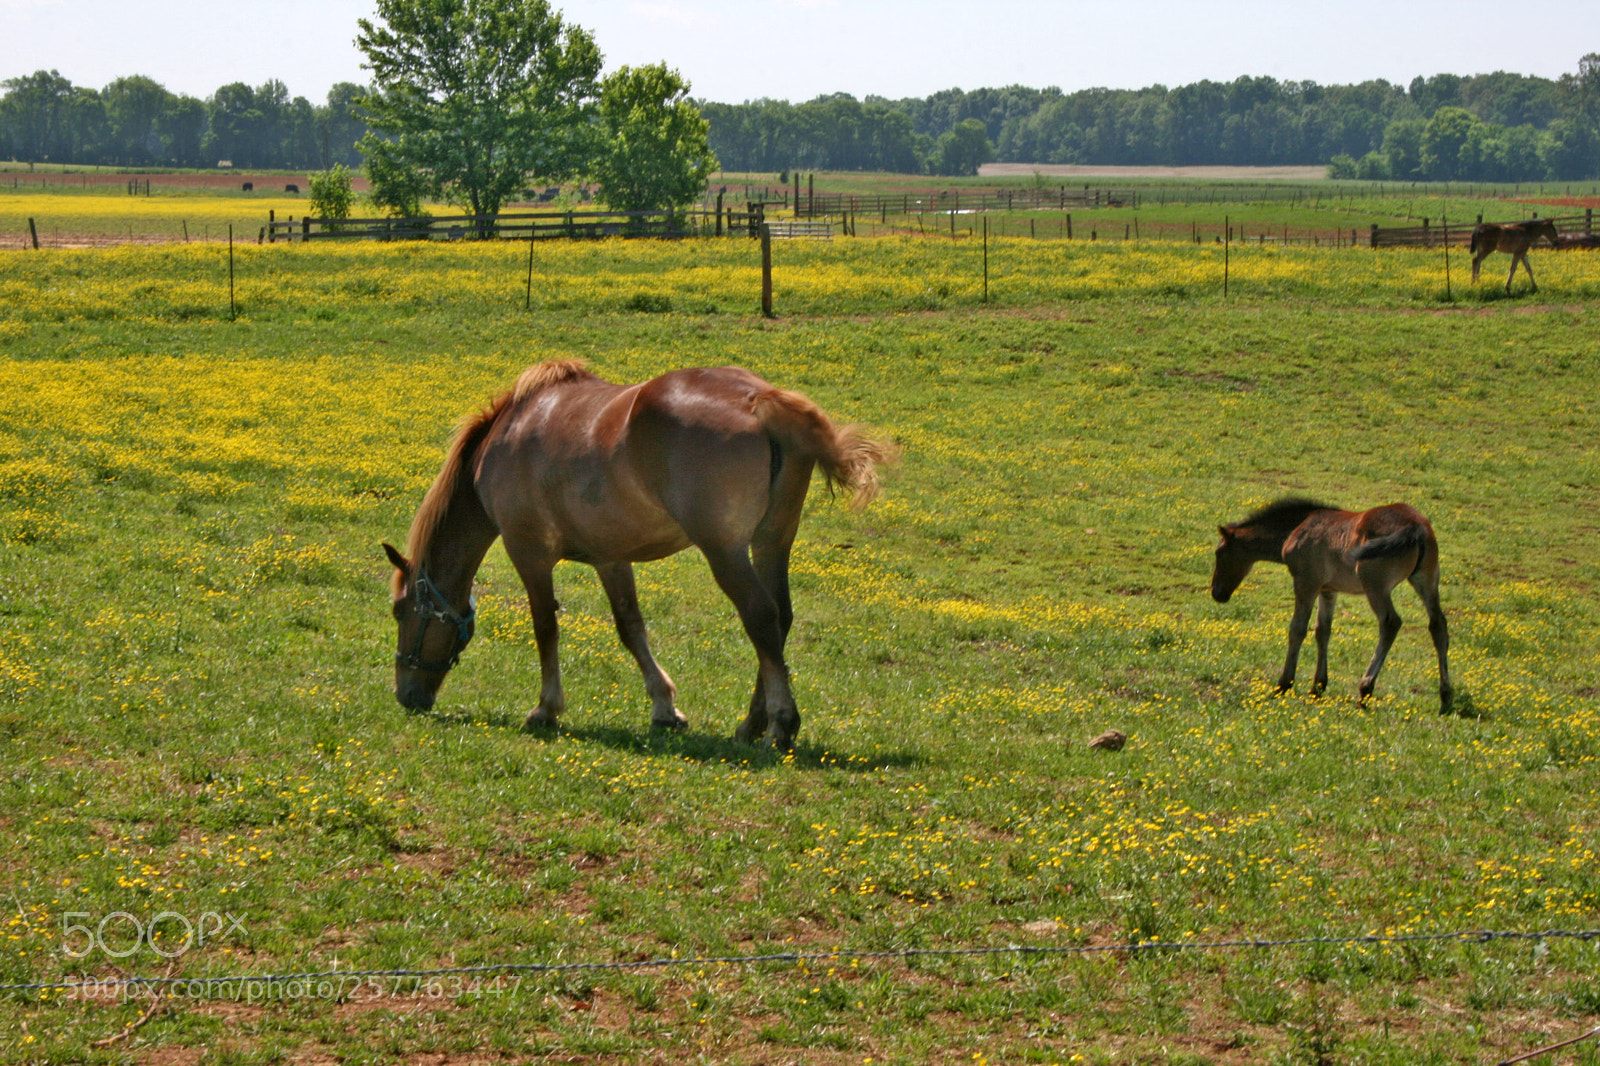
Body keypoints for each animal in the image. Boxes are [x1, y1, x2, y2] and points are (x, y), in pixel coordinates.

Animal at [382, 360, 894, 749]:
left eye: (400, 611)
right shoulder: (611, 557)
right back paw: (752, 723)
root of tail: (759, 398)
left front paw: (547, 708)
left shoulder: (529, 552)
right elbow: (631, 629)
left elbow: (546, 628)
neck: (510, 434)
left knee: (760, 617)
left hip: (725, 552)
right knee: (780, 620)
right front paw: (665, 707)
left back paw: (781, 725)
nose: (406, 695)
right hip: (770, 544)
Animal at [1211, 498, 1452, 712]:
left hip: (1375, 585)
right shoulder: (1328, 590)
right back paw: (1445, 698)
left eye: (1219, 553)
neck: (1297, 528)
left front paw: (1283, 684)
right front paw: (1318, 686)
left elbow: (1297, 630)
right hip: (1426, 579)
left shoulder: (1306, 583)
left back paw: (1365, 690)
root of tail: (1415, 526)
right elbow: (1323, 631)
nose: (1217, 593)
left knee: (1390, 623)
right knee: (1438, 625)